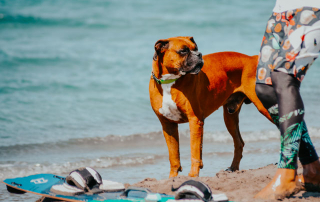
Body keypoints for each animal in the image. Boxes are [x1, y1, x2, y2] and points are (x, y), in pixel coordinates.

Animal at [149, 36, 272, 177]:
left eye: (196, 48)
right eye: (183, 51)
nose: (199, 54)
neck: (169, 82)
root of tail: (252, 58)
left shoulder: (195, 121)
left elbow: (195, 151)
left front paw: (193, 175)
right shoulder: (168, 125)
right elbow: (174, 155)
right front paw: (172, 178)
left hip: (264, 108)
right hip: (229, 118)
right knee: (239, 143)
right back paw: (233, 168)